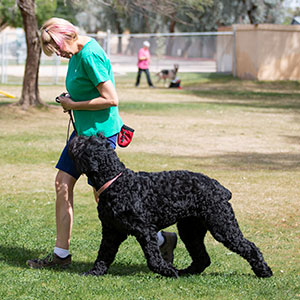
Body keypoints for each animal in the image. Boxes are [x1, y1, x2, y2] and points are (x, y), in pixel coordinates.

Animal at [69, 135, 274, 278]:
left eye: (85, 142)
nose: (75, 138)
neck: (116, 182)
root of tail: (219, 187)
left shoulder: (145, 230)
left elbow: (153, 258)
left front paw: (167, 271)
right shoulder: (111, 231)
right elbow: (104, 254)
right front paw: (94, 272)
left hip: (222, 226)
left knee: (249, 246)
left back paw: (264, 271)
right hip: (190, 230)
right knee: (202, 257)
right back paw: (186, 271)